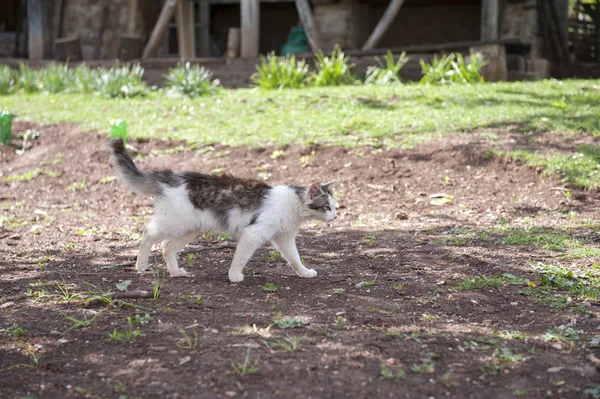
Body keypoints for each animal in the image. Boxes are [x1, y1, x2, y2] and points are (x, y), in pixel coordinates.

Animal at [108, 139, 338, 282]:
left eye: (335, 207)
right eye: (326, 207)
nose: (335, 217)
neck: (292, 205)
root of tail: (173, 176)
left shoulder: (284, 238)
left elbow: (295, 259)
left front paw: (305, 272)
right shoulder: (252, 234)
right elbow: (240, 259)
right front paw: (234, 276)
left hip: (190, 229)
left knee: (167, 246)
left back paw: (175, 272)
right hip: (173, 222)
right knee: (148, 233)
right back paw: (141, 265)